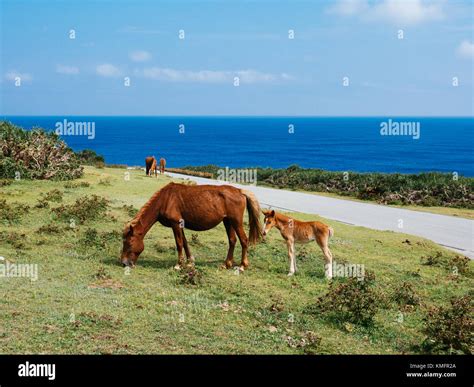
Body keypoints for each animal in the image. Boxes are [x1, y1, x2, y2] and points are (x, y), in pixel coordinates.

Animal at [120, 183, 262, 272]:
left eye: (129, 243)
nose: (123, 263)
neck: (165, 199)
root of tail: (240, 191)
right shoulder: (180, 225)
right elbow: (185, 243)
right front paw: (189, 262)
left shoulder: (175, 224)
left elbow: (179, 244)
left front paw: (178, 265)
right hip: (227, 221)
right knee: (232, 240)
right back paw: (226, 264)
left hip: (236, 221)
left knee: (244, 240)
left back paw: (242, 266)